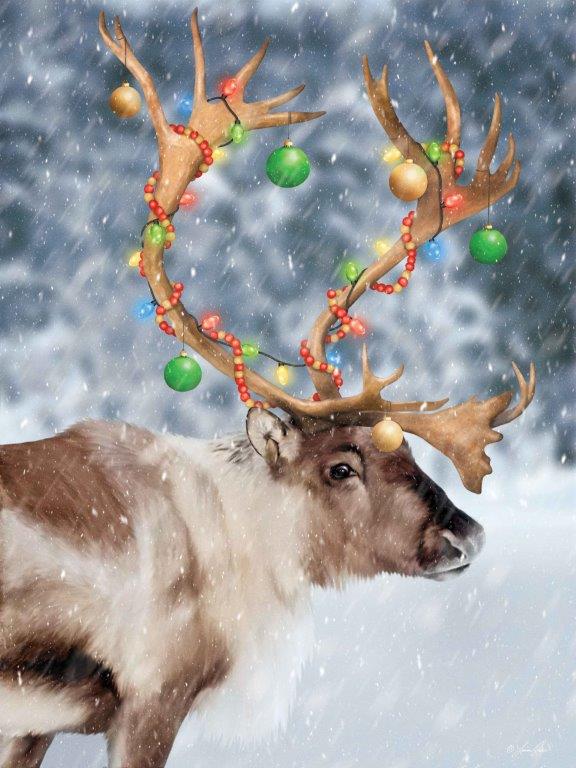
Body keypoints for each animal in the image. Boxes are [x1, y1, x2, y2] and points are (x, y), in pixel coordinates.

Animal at [0, 10, 535, 768]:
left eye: (408, 452)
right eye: (341, 466)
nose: (466, 534)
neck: (239, 544)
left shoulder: (33, 722)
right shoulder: (151, 693)